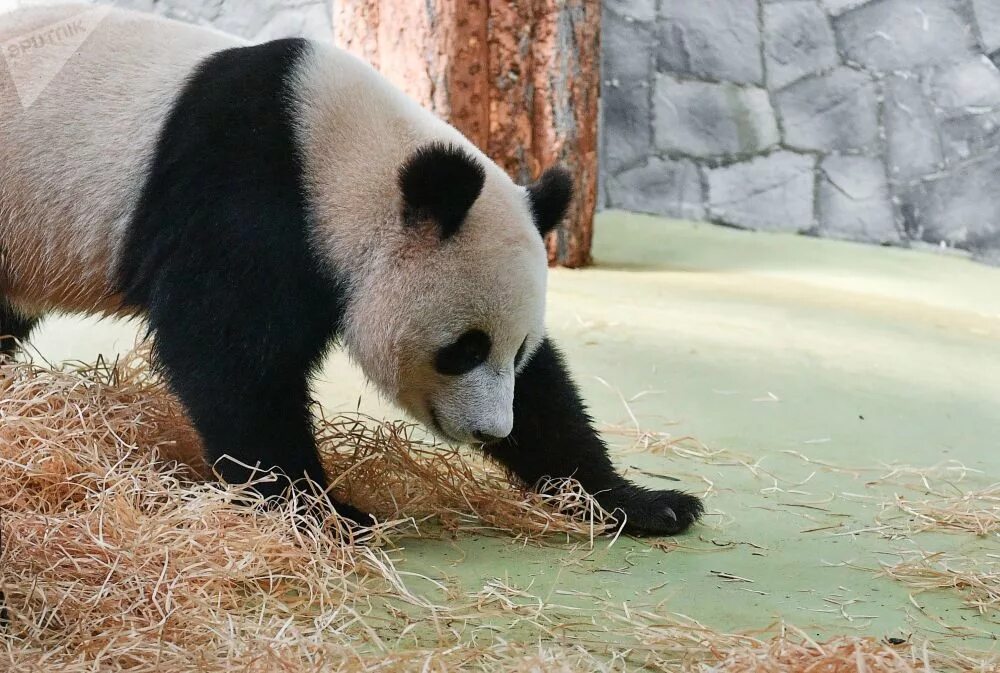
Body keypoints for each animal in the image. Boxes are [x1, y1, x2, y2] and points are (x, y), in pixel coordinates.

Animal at [0, 2, 704, 532]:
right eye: (463, 349)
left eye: (516, 348)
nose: (488, 427)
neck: (343, 160)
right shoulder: (245, 197)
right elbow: (229, 360)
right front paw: (325, 511)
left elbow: (547, 397)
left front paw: (645, 502)